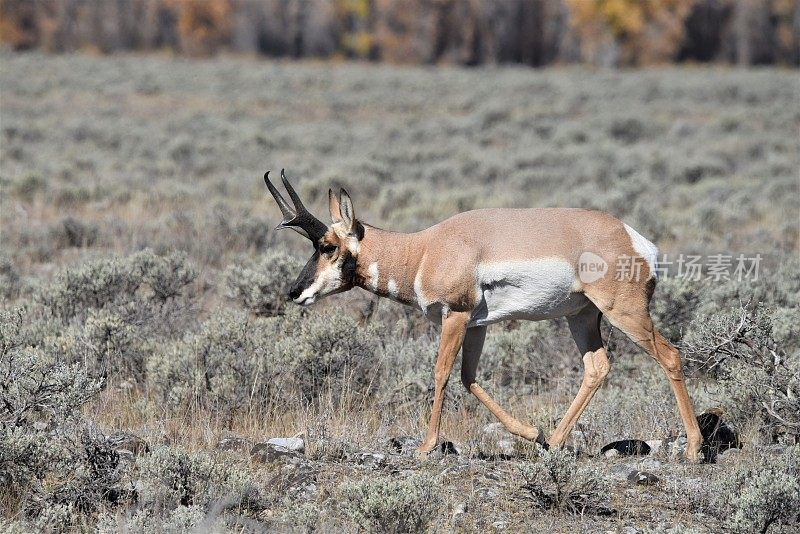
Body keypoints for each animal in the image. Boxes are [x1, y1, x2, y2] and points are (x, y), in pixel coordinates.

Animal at [266, 172, 704, 464]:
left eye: (327, 245)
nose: (294, 293)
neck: (425, 248)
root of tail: (634, 239)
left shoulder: (456, 317)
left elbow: (442, 373)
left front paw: (425, 446)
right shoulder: (478, 325)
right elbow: (468, 377)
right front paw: (532, 433)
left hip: (625, 314)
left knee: (670, 355)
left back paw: (694, 449)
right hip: (582, 318)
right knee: (597, 366)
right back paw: (554, 442)